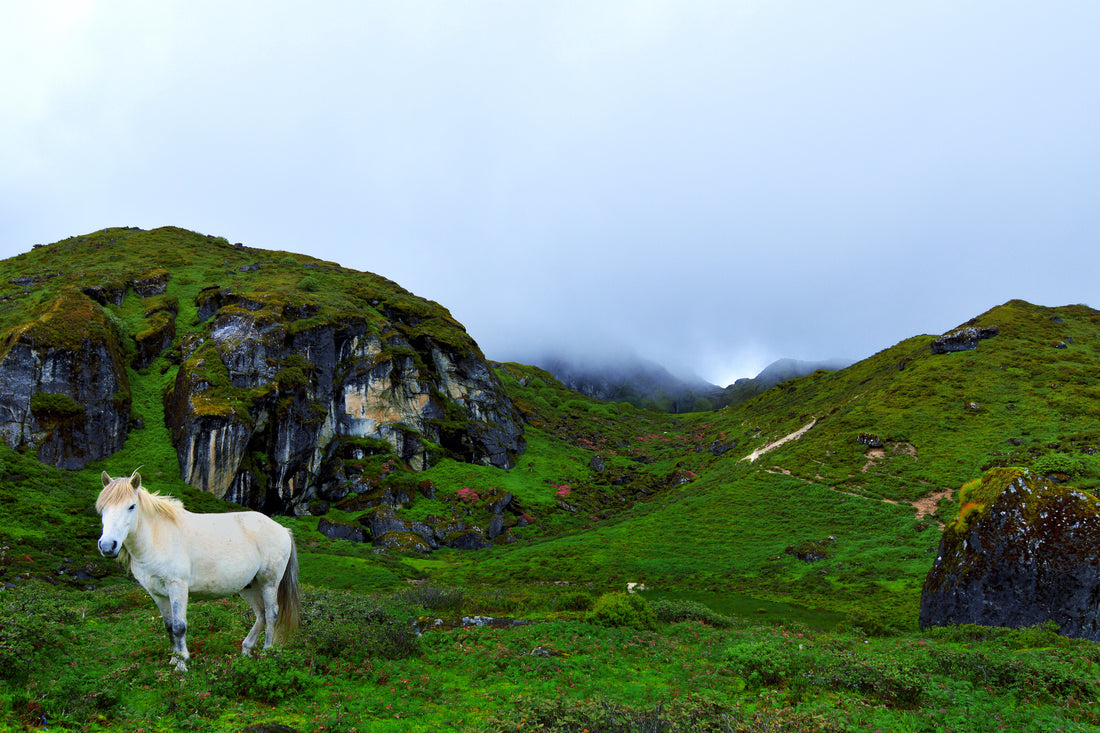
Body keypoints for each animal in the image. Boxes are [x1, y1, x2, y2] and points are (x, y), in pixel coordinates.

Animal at [95, 468, 299, 669]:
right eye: (102, 508)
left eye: (131, 506)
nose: (107, 546)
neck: (157, 537)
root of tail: (282, 529)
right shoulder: (156, 593)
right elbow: (168, 626)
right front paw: (174, 658)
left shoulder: (177, 586)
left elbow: (179, 626)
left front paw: (182, 663)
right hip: (249, 586)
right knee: (261, 614)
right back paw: (246, 650)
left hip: (269, 582)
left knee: (271, 614)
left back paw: (267, 653)